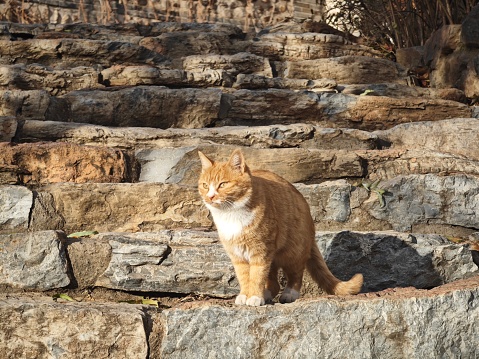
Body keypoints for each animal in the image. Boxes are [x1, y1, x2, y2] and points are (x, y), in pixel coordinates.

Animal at [199, 149, 364, 306]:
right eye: (205, 185)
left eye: (223, 184)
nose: (210, 197)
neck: (230, 215)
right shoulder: (238, 256)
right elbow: (245, 277)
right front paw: (245, 295)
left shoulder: (260, 252)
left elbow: (257, 276)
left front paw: (254, 296)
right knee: (274, 283)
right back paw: (266, 294)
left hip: (293, 251)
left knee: (295, 274)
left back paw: (289, 293)